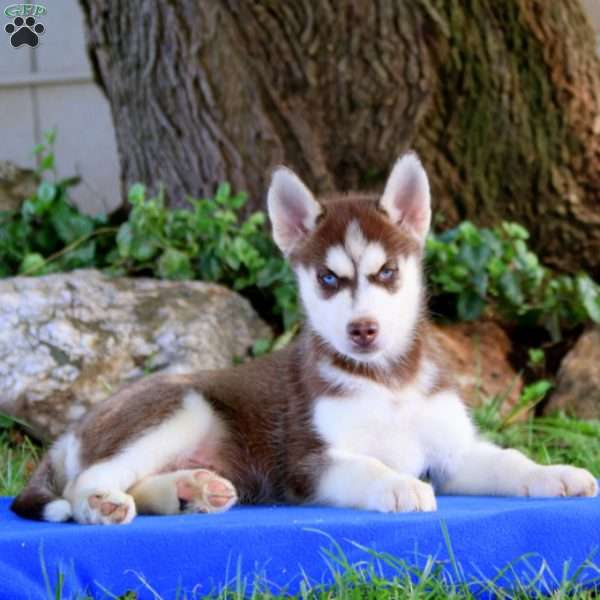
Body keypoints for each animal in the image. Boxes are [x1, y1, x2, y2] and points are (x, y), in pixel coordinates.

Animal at [11, 155, 596, 524]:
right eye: (329, 279)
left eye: (387, 273)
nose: (363, 329)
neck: (387, 381)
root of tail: (72, 431)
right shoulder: (311, 462)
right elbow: (367, 465)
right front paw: (397, 484)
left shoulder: (454, 454)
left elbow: (510, 461)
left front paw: (555, 474)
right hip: (181, 407)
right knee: (87, 480)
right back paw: (103, 505)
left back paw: (190, 489)